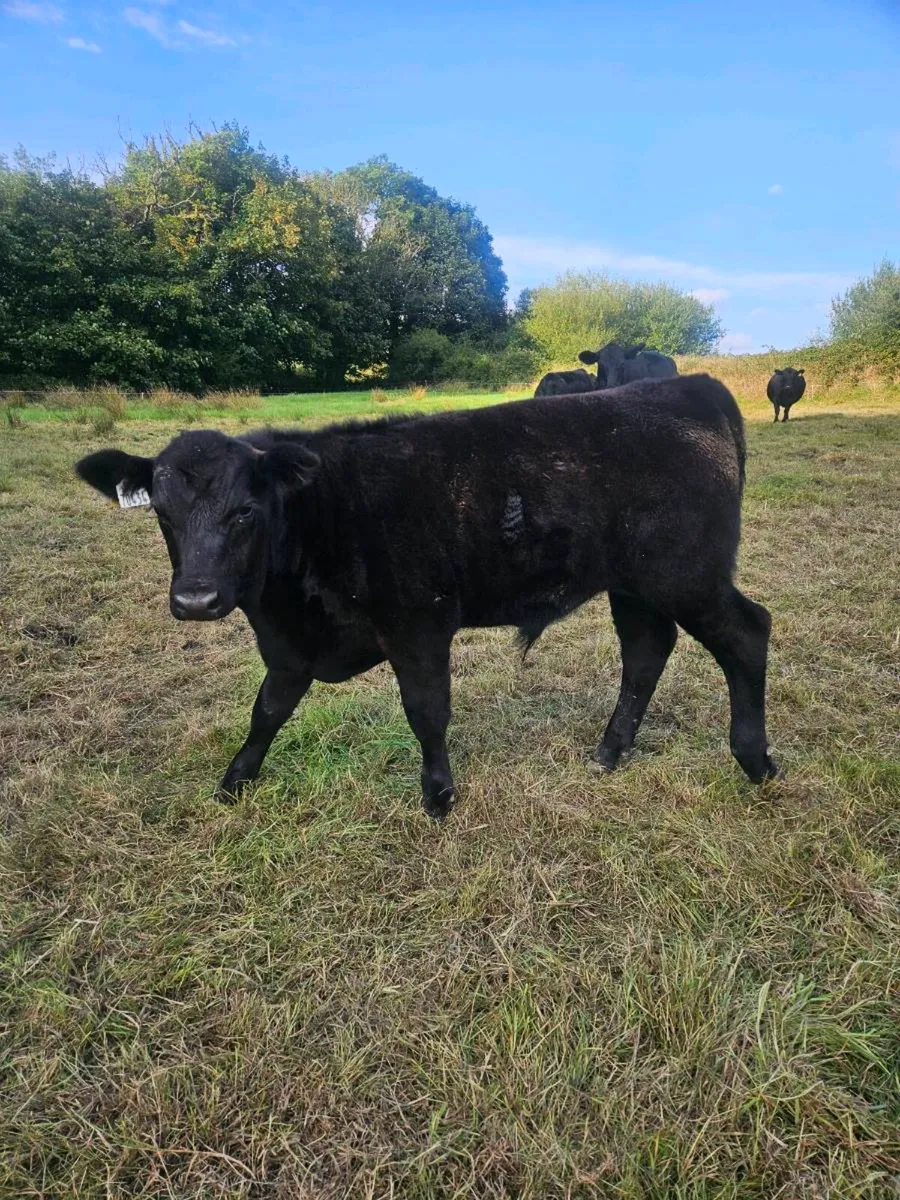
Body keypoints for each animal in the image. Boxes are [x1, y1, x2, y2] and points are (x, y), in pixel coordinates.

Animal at [75, 374, 781, 821]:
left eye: (245, 511)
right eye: (161, 512)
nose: (195, 598)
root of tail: (692, 387)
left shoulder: (419, 623)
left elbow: (426, 711)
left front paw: (438, 795)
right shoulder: (291, 645)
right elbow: (267, 710)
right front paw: (234, 782)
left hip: (687, 575)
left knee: (747, 633)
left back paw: (755, 761)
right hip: (634, 585)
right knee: (645, 652)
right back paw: (609, 752)